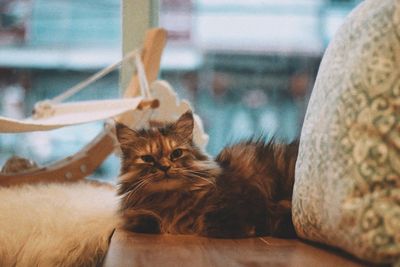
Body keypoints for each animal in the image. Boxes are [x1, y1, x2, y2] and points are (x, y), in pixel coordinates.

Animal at [115, 111, 296, 239]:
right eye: (147, 159)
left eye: (176, 153)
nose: (165, 167)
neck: (170, 199)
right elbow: (140, 220)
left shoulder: (246, 200)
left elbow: (209, 222)